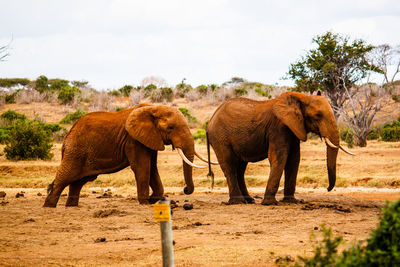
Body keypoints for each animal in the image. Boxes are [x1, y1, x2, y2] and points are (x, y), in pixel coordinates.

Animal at [42, 103, 209, 208]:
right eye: (171, 127)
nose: (185, 189)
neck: (153, 107)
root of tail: (68, 134)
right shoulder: (134, 140)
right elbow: (143, 167)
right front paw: (145, 203)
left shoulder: (150, 139)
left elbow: (152, 168)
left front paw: (155, 199)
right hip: (75, 151)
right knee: (66, 177)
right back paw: (49, 206)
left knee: (78, 182)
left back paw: (71, 206)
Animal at [206, 91, 354, 206]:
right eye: (318, 115)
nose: (328, 189)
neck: (302, 98)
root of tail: (210, 122)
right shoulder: (278, 127)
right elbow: (280, 157)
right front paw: (270, 203)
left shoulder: (294, 129)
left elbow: (294, 160)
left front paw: (291, 201)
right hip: (220, 138)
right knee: (230, 165)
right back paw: (238, 202)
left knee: (240, 168)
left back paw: (249, 200)